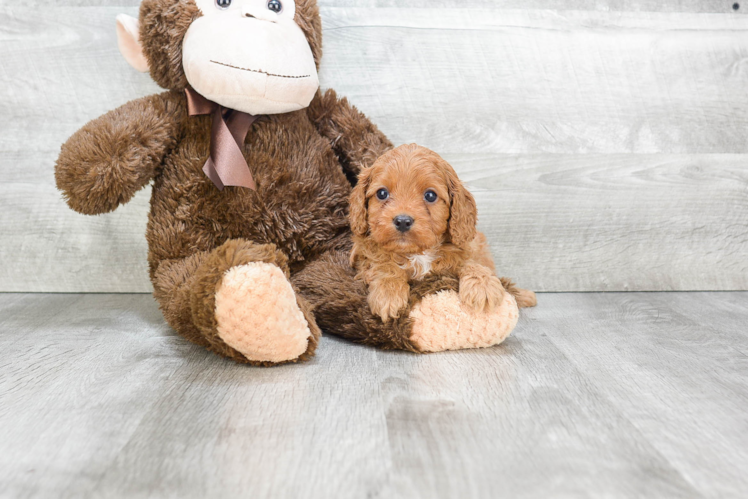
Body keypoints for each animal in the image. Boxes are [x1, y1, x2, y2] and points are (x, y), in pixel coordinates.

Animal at [348, 144, 536, 320]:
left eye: (430, 195)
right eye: (382, 193)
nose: (402, 221)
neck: (419, 253)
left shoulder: (466, 249)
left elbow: (472, 262)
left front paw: (483, 286)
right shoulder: (364, 257)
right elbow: (383, 264)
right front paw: (388, 292)